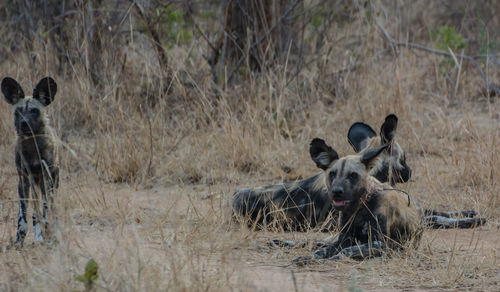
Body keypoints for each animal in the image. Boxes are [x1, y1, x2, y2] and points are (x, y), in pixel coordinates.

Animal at [1, 76, 59, 248]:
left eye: (34, 111)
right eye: (18, 111)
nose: (24, 123)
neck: (32, 146)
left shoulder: (45, 178)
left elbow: (41, 212)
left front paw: (42, 235)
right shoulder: (24, 180)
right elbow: (23, 214)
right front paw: (19, 239)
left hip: (52, 182)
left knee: (49, 207)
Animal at [292, 139, 486, 262]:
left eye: (353, 175)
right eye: (332, 174)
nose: (336, 192)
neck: (360, 207)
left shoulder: (380, 244)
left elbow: (345, 252)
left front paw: (332, 258)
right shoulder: (343, 239)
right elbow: (322, 251)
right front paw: (310, 258)